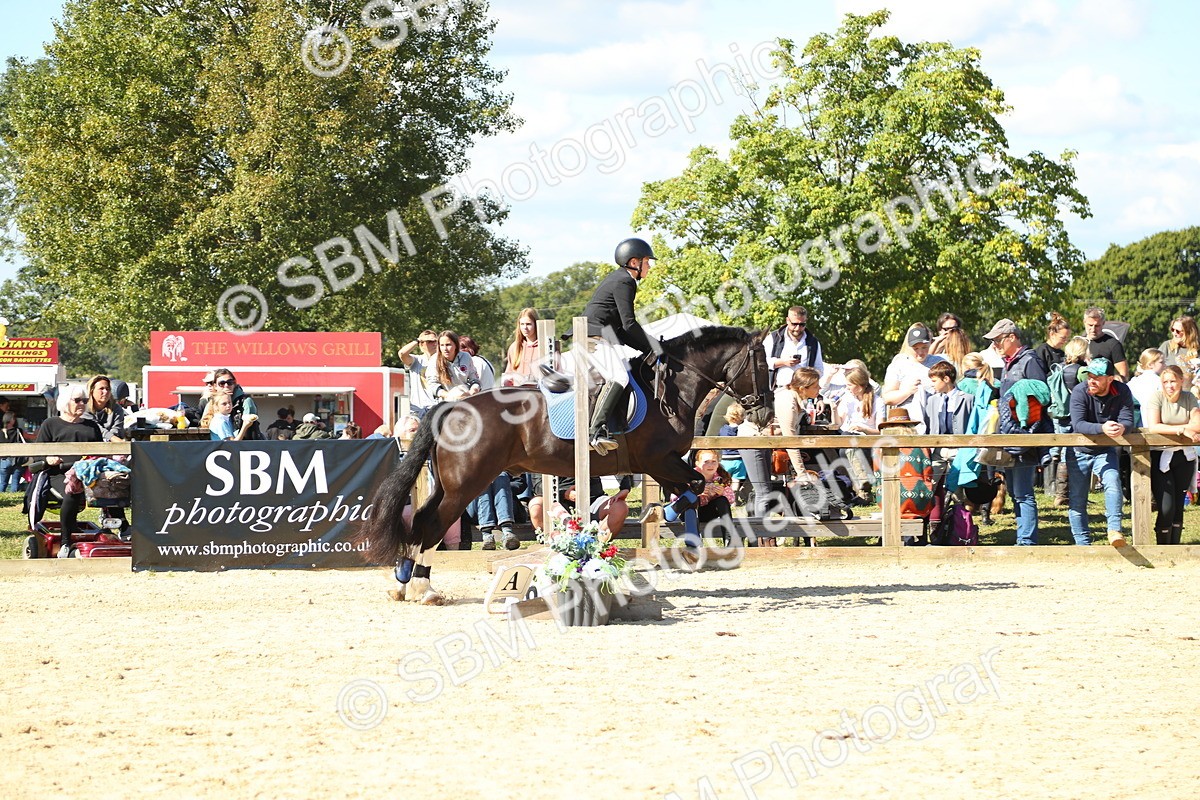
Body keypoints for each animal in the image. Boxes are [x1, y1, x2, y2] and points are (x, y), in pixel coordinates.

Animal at [360, 325, 770, 604]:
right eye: (763, 364)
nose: (764, 413)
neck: (672, 390)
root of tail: (450, 407)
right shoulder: (659, 459)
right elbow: (696, 487)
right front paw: (662, 520)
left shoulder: (659, 465)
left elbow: (691, 490)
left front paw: (669, 527)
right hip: (467, 485)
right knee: (433, 524)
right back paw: (423, 587)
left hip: (449, 484)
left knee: (421, 520)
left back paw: (405, 581)